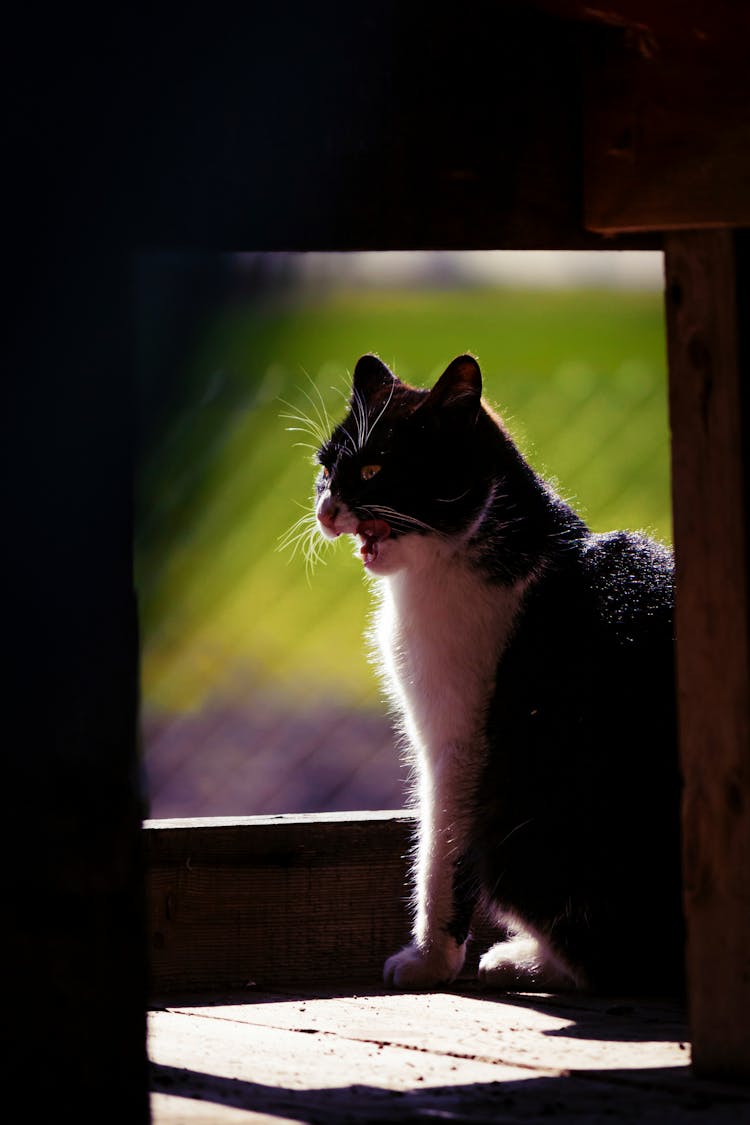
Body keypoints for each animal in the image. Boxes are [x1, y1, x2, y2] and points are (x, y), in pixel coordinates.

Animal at [314, 351, 683, 994]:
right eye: (326, 468)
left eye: (374, 469)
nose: (326, 507)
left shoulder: (460, 744)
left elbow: (440, 855)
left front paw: (429, 962)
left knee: (620, 962)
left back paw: (528, 961)